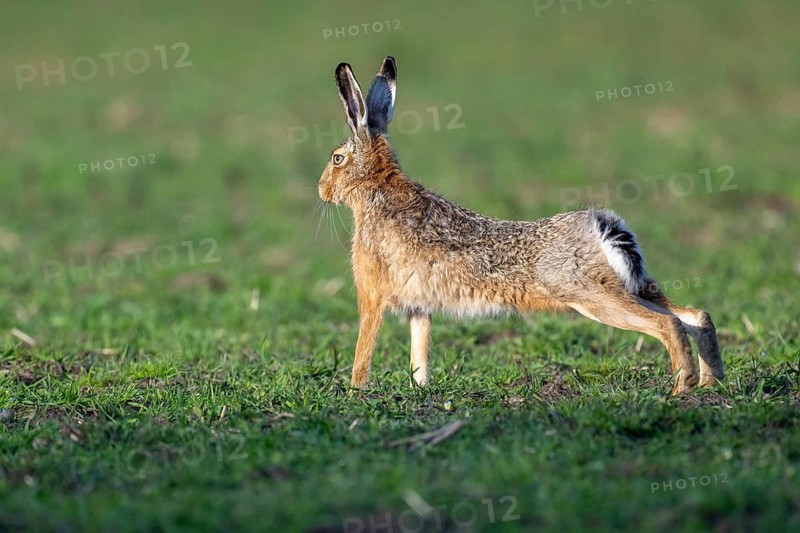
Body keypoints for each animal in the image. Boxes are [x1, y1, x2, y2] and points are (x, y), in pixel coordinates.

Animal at [317, 56, 724, 395]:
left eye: (337, 159)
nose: (321, 189)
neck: (377, 187)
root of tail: (600, 226)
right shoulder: (420, 307)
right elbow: (421, 351)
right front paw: (420, 389)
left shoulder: (372, 296)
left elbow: (364, 351)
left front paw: (354, 393)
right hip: (636, 287)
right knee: (695, 316)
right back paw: (710, 384)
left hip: (593, 295)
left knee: (668, 325)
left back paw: (681, 389)